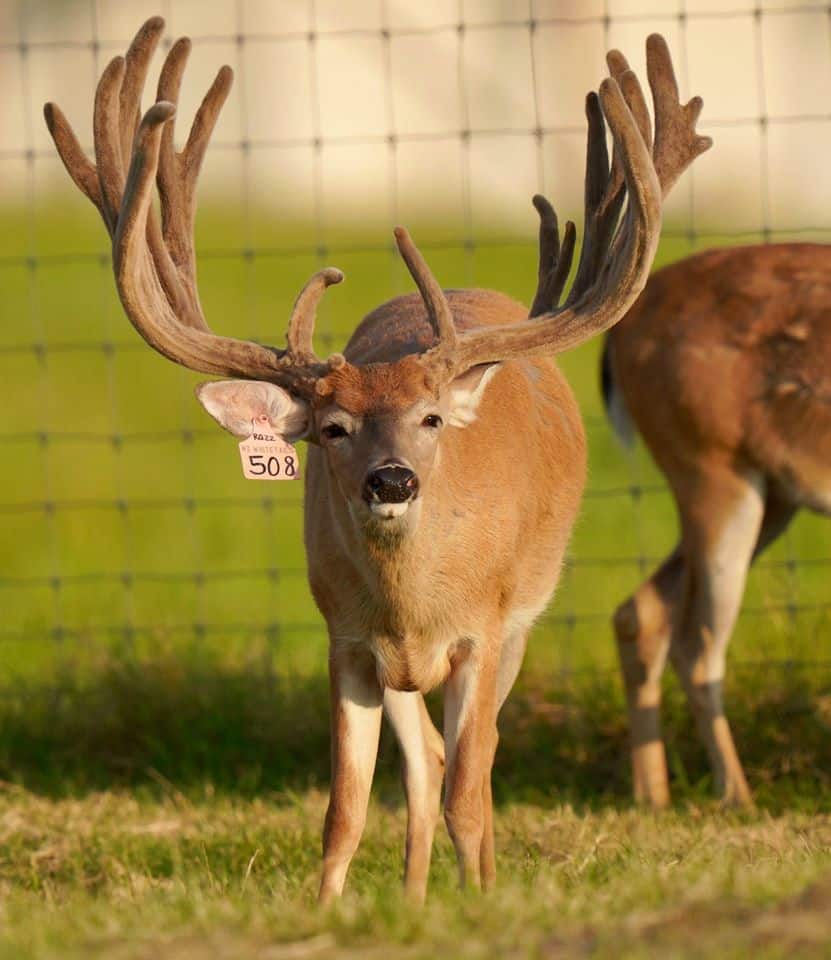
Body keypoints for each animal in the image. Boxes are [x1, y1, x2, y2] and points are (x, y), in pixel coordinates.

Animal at [44, 18, 709, 901]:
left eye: (429, 418)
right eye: (331, 427)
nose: (391, 479)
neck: (413, 605)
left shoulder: (484, 630)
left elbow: (470, 789)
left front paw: (480, 902)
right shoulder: (348, 641)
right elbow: (346, 811)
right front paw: (335, 911)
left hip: (525, 611)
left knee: (473, 764)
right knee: (423, 763)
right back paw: (413, 894)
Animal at [603, 238, 831, 808]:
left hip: (772, 492)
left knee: (642, 609)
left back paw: (654, 796)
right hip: (712, 466)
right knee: (697, 644)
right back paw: (736, 796)